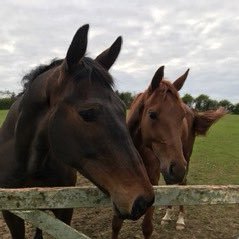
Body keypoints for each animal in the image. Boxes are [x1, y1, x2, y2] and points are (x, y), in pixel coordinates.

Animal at [111, 65, 227, 239]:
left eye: (181, 116)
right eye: (152, 114)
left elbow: (147, 227)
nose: (177, 168)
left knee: (183, 184)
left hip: (184, 158)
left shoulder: (153, 181)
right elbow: (116, 225)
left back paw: (180, 220)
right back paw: (167, 216)